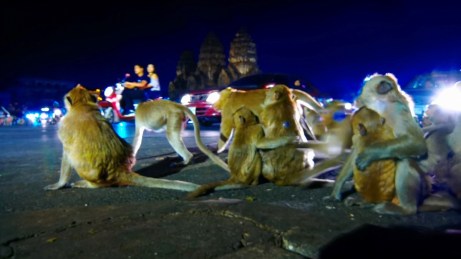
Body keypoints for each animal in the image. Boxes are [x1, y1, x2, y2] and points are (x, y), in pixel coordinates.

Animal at [43, 85, 199, 193]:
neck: (82, 106)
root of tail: (119, 171)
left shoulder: (64, 127)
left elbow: (66, 155)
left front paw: (59, 184)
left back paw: (88, 184)